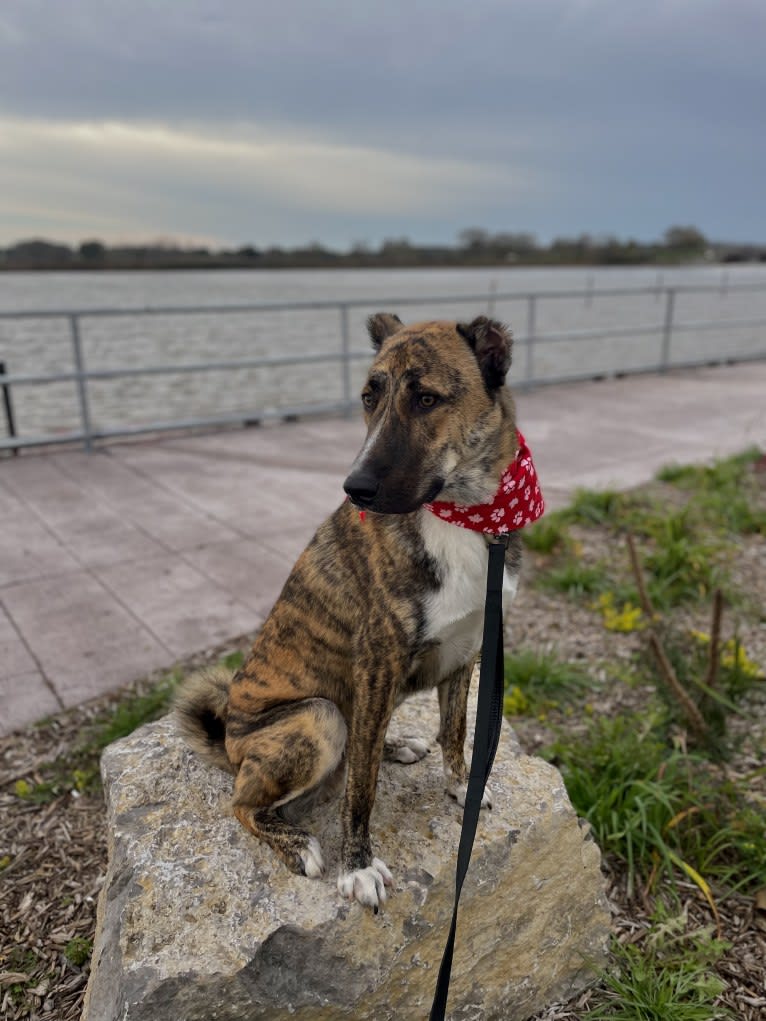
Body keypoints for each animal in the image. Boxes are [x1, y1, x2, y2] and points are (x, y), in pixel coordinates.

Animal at [176, 310, 531, 910]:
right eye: (369, 397)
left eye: (427, 399)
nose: (355, 487)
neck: (461, 514)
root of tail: (229, 744)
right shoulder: (376, 665)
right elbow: (360, 792)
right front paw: (357, 866)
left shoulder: (467, 650)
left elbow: (456, 731)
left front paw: (462, 784)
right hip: (318, 718)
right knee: (245, 802)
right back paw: (297, 843)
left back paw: (398, 743)